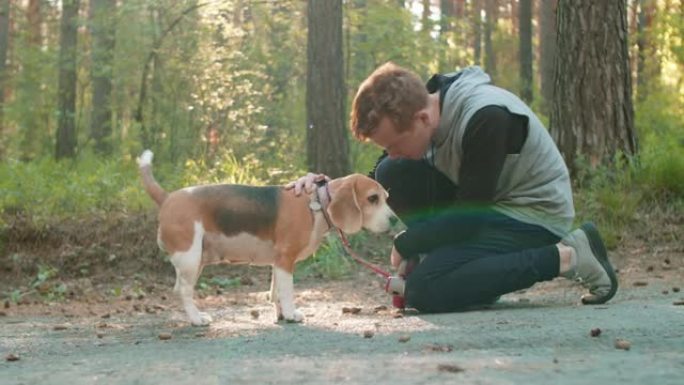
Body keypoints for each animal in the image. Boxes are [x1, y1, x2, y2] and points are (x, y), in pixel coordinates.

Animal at [136, 150, 392, 324]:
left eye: (386, 198)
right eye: (372, 199)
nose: (394, 221)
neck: (317, 205)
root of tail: (168, 198)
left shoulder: (277, 262)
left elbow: (276, 291)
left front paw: (281, 315)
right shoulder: (286, 259)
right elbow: (287, 292)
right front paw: (291, 313)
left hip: (196, 260)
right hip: (189, 259)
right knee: (183, 290)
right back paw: (197, 318)